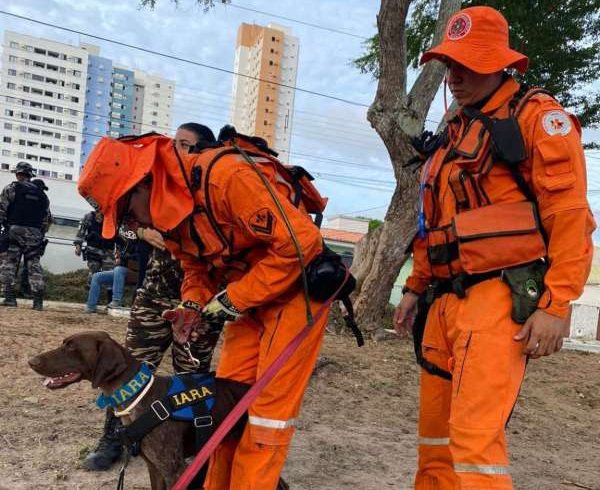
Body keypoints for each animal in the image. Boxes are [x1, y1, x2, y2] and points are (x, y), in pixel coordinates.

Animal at [27, 330, 248, 490]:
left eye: (72, 347)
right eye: (64, 343)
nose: (31, 361)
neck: (139, 394)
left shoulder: (174, 470)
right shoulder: (154, 468)